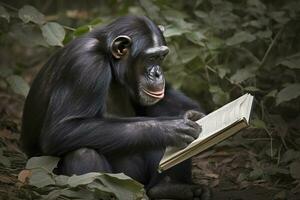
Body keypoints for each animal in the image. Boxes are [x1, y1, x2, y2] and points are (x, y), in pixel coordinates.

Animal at [21, 15, 211, 198]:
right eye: (150, 58)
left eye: (161, 57)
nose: (158, 73)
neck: (108, 57)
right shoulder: (85, 65)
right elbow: (60, 129)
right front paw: (170, 128)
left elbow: (165, 98)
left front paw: (193, 115)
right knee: (83, 153)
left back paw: (169, 187)